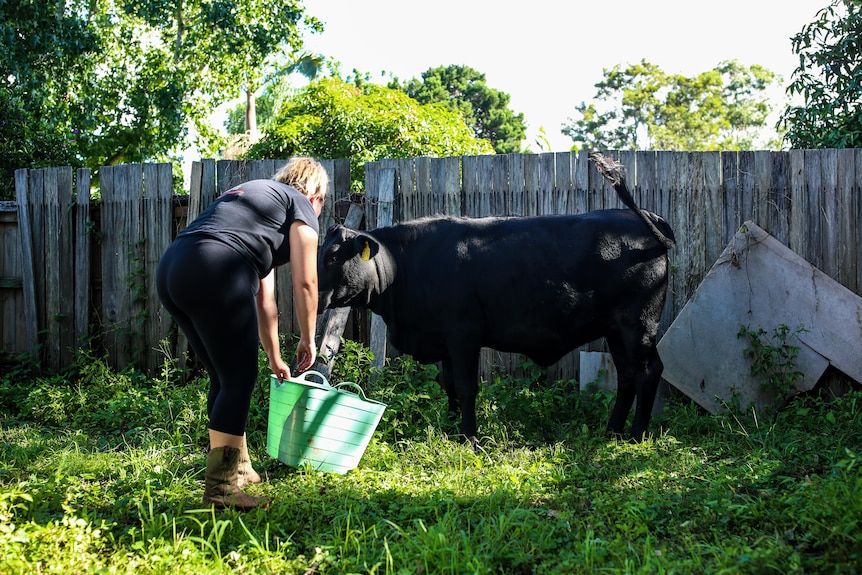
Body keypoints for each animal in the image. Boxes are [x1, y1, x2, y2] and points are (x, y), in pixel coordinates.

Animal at [318, 153, 676, 440]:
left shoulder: (463, 334)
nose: (314, 293)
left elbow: (466, 387)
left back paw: (636, 436)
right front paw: (451, 430)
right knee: (627, 375)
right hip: (616, 329)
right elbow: (449, 384)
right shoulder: (444, 338)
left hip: (639, 325)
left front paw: (468, 438)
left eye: (334, 256)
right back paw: (612, 431)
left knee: (648, 372)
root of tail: (646, 218)